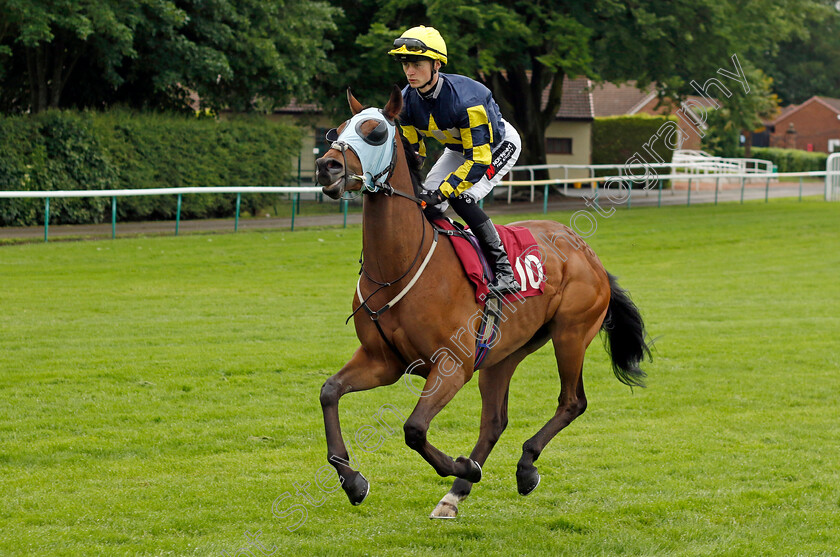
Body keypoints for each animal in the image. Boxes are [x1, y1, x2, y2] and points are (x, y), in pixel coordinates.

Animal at [316, 84, 648, 520]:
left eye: (375, 132)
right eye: (336, 130)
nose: (327, 167)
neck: (399, 265)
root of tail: (587, 252)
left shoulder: (452, 366)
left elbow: (414, 429)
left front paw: (464, 467)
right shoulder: (382, 361)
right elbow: (330, 392)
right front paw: (353, 481)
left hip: (571, 335)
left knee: (572, 401)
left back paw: (523, 467)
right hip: (502, 353)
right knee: (494, 420)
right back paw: (455, 494)